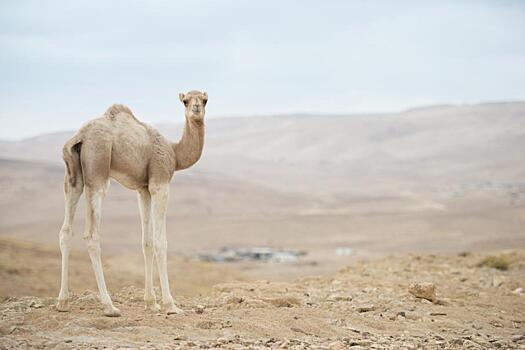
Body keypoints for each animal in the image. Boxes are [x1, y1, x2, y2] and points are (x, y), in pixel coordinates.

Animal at [55, 90, 207, 318]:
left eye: (205, 100)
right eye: (185, 101)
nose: (196, 108)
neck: (174, 152)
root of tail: (79, 136)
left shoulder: (143, 189)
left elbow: (147, 242)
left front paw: (151, 303)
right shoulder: (160, 182)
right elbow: (161, 242)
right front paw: (170, 305)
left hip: (73, 176)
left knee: (66, 231)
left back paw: (62, 302)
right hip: (98, 171)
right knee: (92, 235)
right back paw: (109, 306)